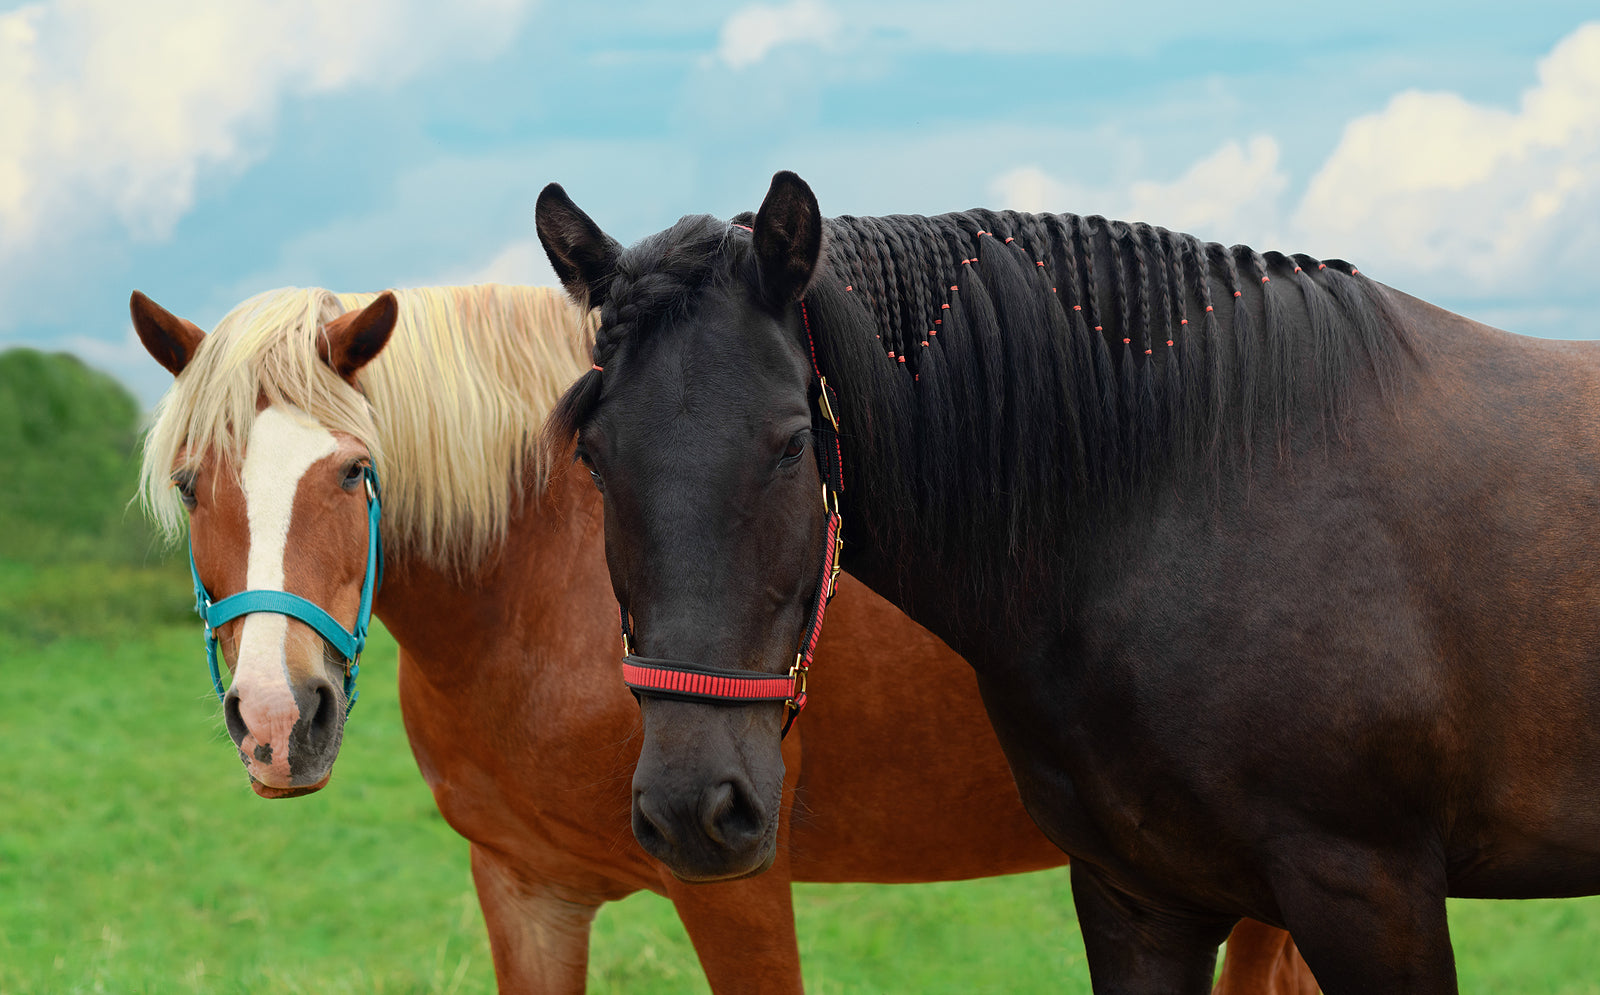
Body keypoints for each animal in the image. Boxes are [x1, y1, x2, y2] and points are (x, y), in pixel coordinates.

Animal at [131, 284, 1315, 994]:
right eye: (191, 482)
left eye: (353, 472)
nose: (278, 719)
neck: (549, 580)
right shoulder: (525, 890)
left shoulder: (735, 885)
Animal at [533, 168, 1600, 994]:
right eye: (594, 456)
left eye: (793, 443)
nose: (692, 810)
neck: (1192, 498)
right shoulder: (1140, 899)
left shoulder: (1370, 890)